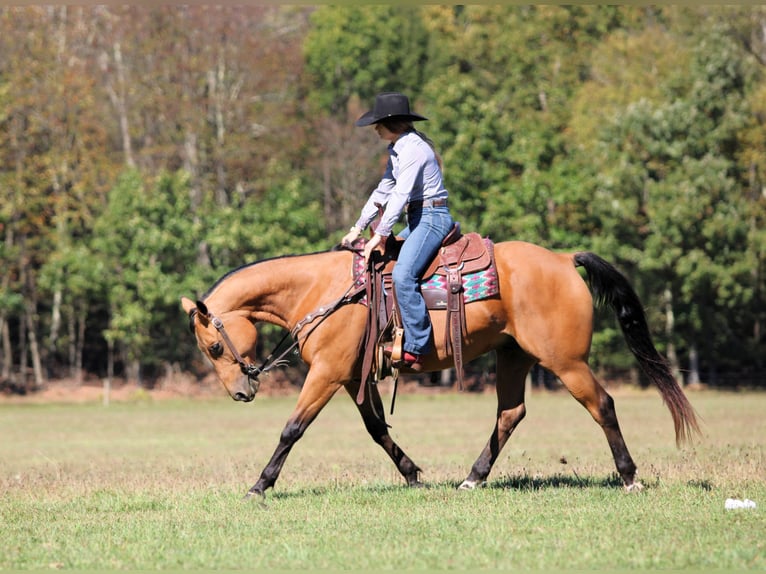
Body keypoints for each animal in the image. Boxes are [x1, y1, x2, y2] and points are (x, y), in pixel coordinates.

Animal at [181, 240, 700, 499]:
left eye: (214, 346)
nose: (241, 393)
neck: (321, 291)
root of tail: (560, 259)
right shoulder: (351, 377)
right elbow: (376, 429)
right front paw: (412, 473)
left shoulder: (326, 374)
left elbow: (292, 428)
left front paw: (260, 485)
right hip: (513, 356)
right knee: (510, 414)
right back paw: (473, 477)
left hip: (566, 362)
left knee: (602, 405)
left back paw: (629, 477)